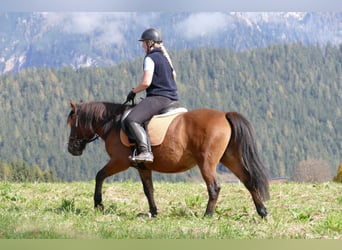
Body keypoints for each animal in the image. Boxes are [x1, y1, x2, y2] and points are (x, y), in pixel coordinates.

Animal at [67, 100, 270, 218]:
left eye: (71, 123)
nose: (71, 149)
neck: (114, 123)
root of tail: (224, 115)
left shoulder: (119, 162)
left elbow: (99, 175)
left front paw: (98, 204)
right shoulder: (142, 167)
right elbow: (148, 189)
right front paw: (153, 212)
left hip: (207, 163)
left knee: (214, 187)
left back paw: (207, 215)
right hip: (230, 158)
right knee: (249, 180)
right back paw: (262, 212)